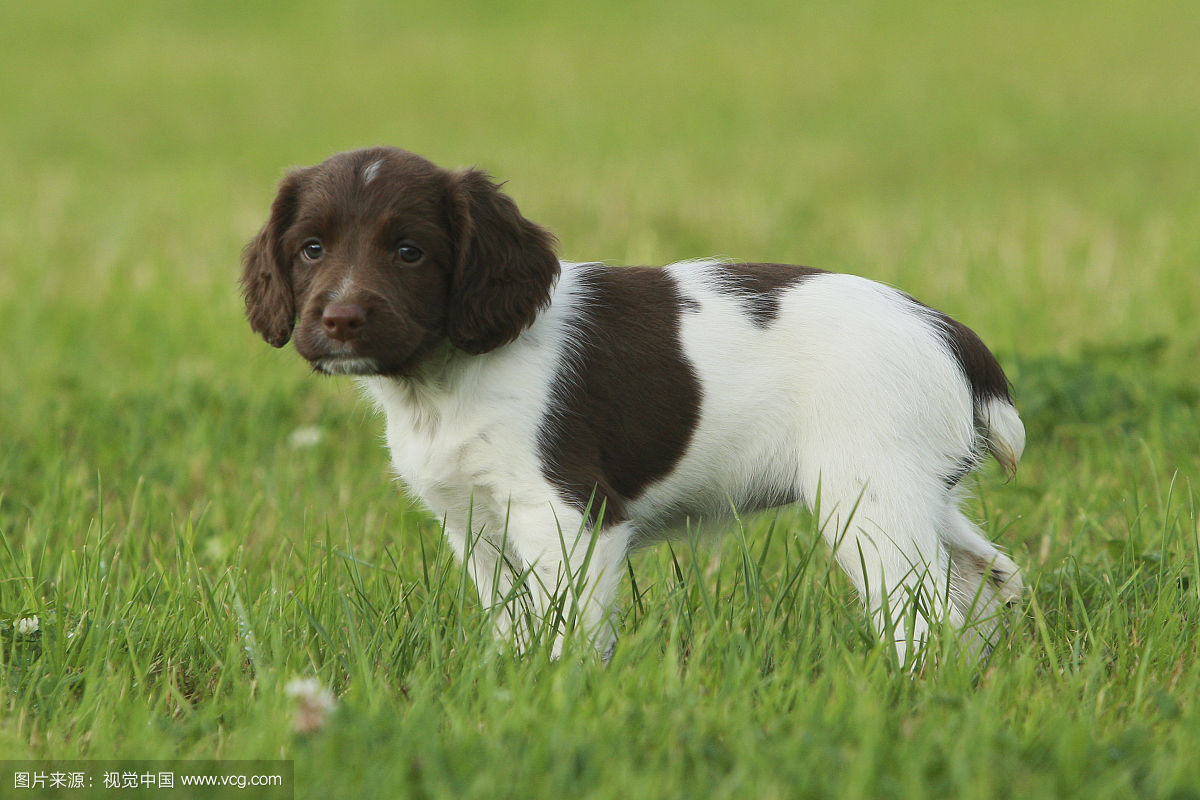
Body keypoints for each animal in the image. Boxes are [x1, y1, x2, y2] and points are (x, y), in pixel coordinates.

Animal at [241, 145, 1022, 662]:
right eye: (311, 249)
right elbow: (512, 622)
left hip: (867, 496)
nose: (339, 320)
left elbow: (567, 634)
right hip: (915, 492)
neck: (443, 381)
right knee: (987, 579)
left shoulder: (568, 516)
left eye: (409, 252)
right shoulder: (474, 523)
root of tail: (945, 329)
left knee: (925, 614)